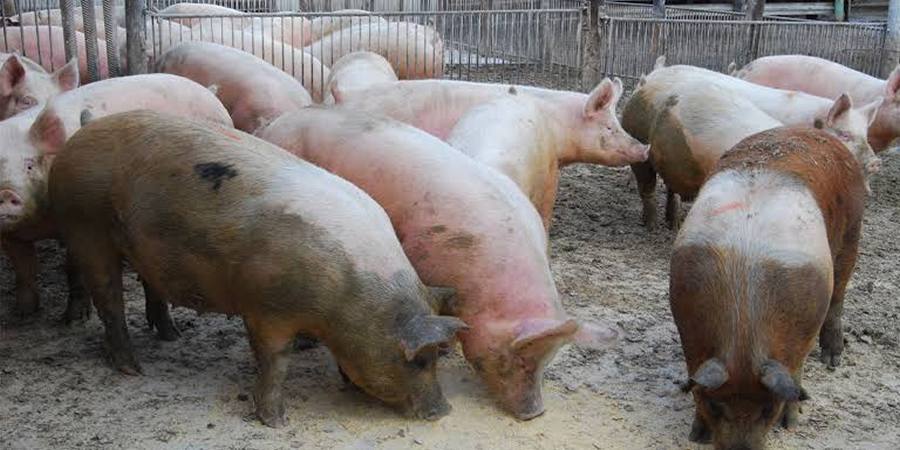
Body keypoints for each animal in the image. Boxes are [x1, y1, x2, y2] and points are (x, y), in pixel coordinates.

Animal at [0, 73, 231, 326]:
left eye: (29, 164)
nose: (5, 193)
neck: (36, 224)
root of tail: (209, 91)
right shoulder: (9, 236)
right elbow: (24, 270)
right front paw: (22, 314)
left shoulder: (73, 219)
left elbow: (73, 269)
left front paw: (74, 319)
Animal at [49, 110, 465, 426]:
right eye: (420, 359)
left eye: (439, 356)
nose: (444, 411)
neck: (347, 296)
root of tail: (83, 129)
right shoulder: (266, 308)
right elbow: (275, 360)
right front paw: (275, 420)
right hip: (84, 227)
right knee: (109, 300)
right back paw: (132, 368)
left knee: (151, 286)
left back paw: (171, 337)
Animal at [257, 108, 620, 420]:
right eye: (523, 360)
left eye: (548, 362)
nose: (536, 413)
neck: (483, 286)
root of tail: (276, 123)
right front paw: (444, 348)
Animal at [622, 64, 880, 229]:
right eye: (844, 134)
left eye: (866, 135)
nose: (876, 162)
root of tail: (649, 80)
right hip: (639, 141)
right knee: (648, 185)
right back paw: (650, 226)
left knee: (671, 188)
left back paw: (673, 224)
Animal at [670, 126, 866, 449]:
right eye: (715, 406)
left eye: (768, 410)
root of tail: (815, 132)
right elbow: (695, 378)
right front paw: (696, 436)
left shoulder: (805, 329)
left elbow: (795, 374)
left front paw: (791, 424)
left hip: (853, 230)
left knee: (839, 294)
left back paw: (832, 360)